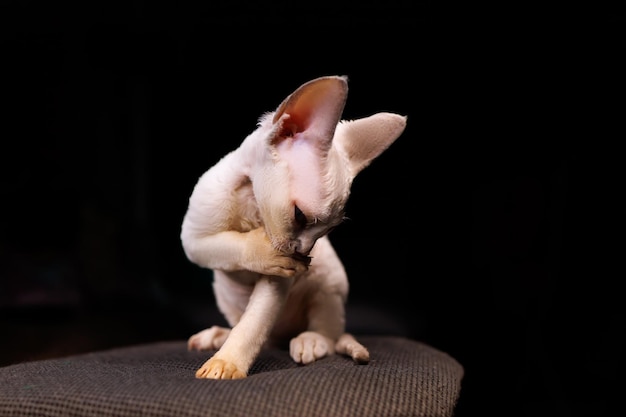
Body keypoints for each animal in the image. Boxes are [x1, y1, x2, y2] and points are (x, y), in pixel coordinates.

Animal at [180, 75, 404, 376]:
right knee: (258, 333)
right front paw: (263, 251)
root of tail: (282, 336)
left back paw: (310, 341)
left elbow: (254, 324)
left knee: (330, 336)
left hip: (329, 284)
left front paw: (227, 362)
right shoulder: (193, 239)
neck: (253, 207)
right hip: (226, 297)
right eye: (299, 216)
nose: (304, 252)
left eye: (328, 232)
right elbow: (227, 246)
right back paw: (217, 335)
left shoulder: (279, 280)